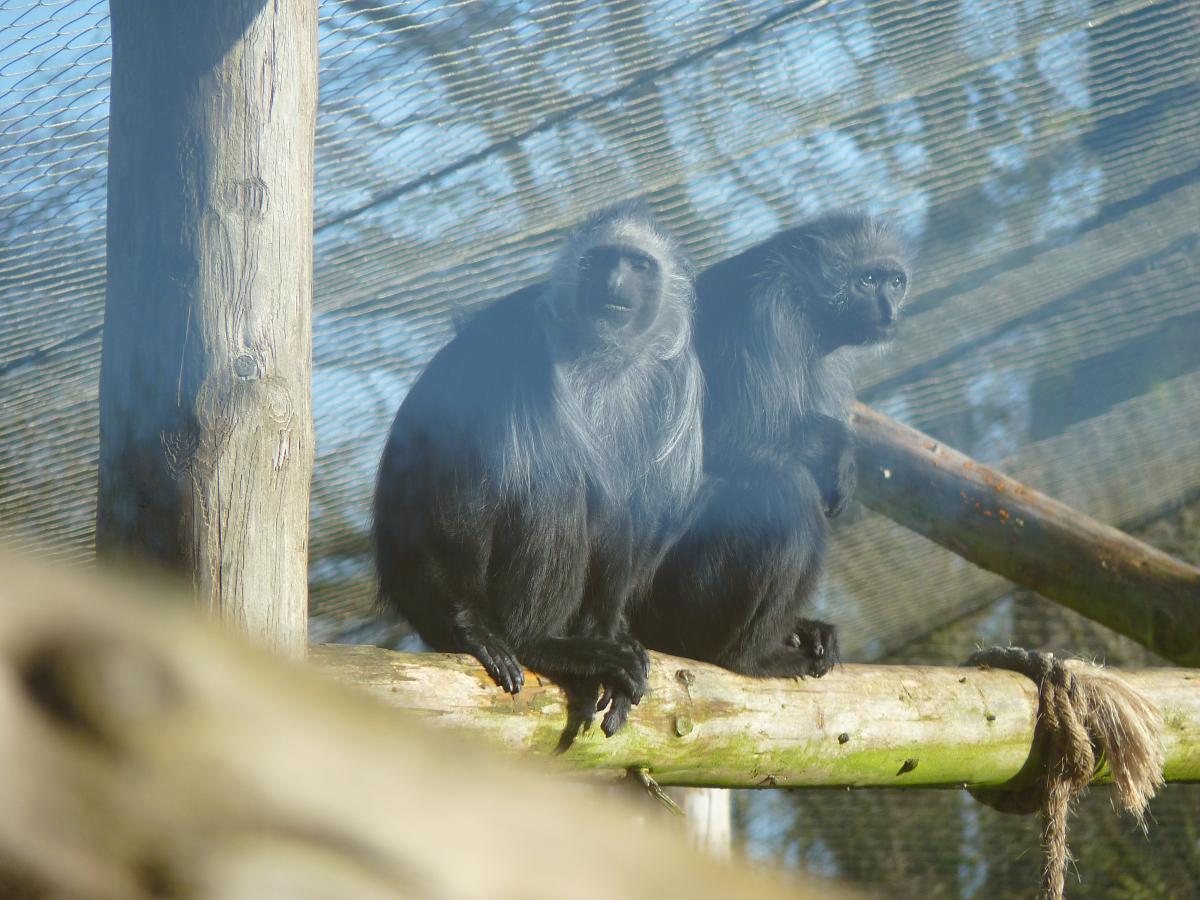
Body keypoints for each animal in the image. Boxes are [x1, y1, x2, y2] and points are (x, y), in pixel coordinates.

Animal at [374, 201, 703, 736]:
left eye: (638, 266)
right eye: (598, 262)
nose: (613, 283)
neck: (601, 357)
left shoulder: (680, 377)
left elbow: (635, 515)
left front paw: (613, 638)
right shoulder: (518, 345)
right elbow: (467, 486)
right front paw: (473, 626)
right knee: (547, 486)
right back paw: (535, 641)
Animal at [631, 211, 910, 678]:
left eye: (894, 282)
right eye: (868, 280)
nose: (889, 310)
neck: (807, 306)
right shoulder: (764, 312)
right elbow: (722, 444)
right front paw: (839, 450)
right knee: (781, 489)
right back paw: (746, 656)